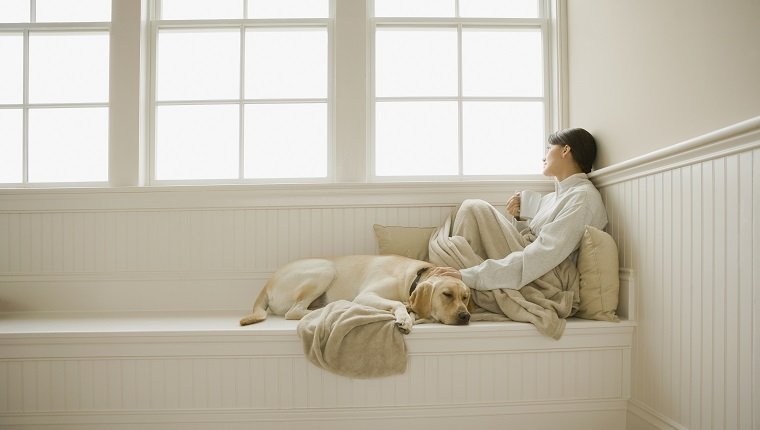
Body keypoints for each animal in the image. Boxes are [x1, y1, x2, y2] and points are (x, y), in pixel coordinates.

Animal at [240, 255, 472, 332]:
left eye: (465, 297)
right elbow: (398, 304)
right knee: (294, 311)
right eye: (447, 294)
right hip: (326, 269)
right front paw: (404, 318)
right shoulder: (367, 295)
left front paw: (409, 316)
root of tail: (268, 282)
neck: (412, 280)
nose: (466, 316)